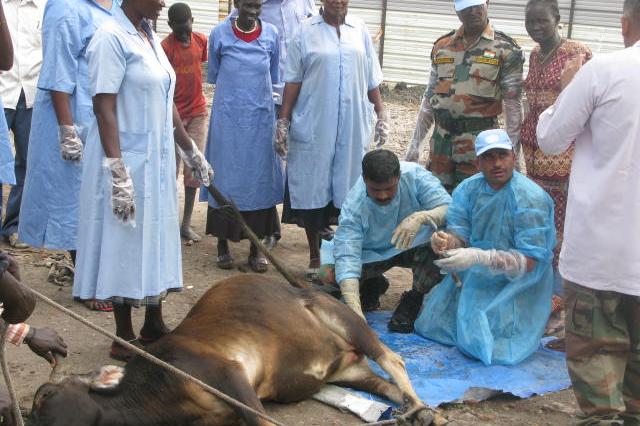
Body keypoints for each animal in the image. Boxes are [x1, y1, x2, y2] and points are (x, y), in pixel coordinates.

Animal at [27, 275, 442, 426]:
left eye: (45, 396)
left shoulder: (227, 373)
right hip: (346, 372)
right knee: (386, 387)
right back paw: (418, 412)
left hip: (338, 313)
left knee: (393, 359)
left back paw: (423, 410)